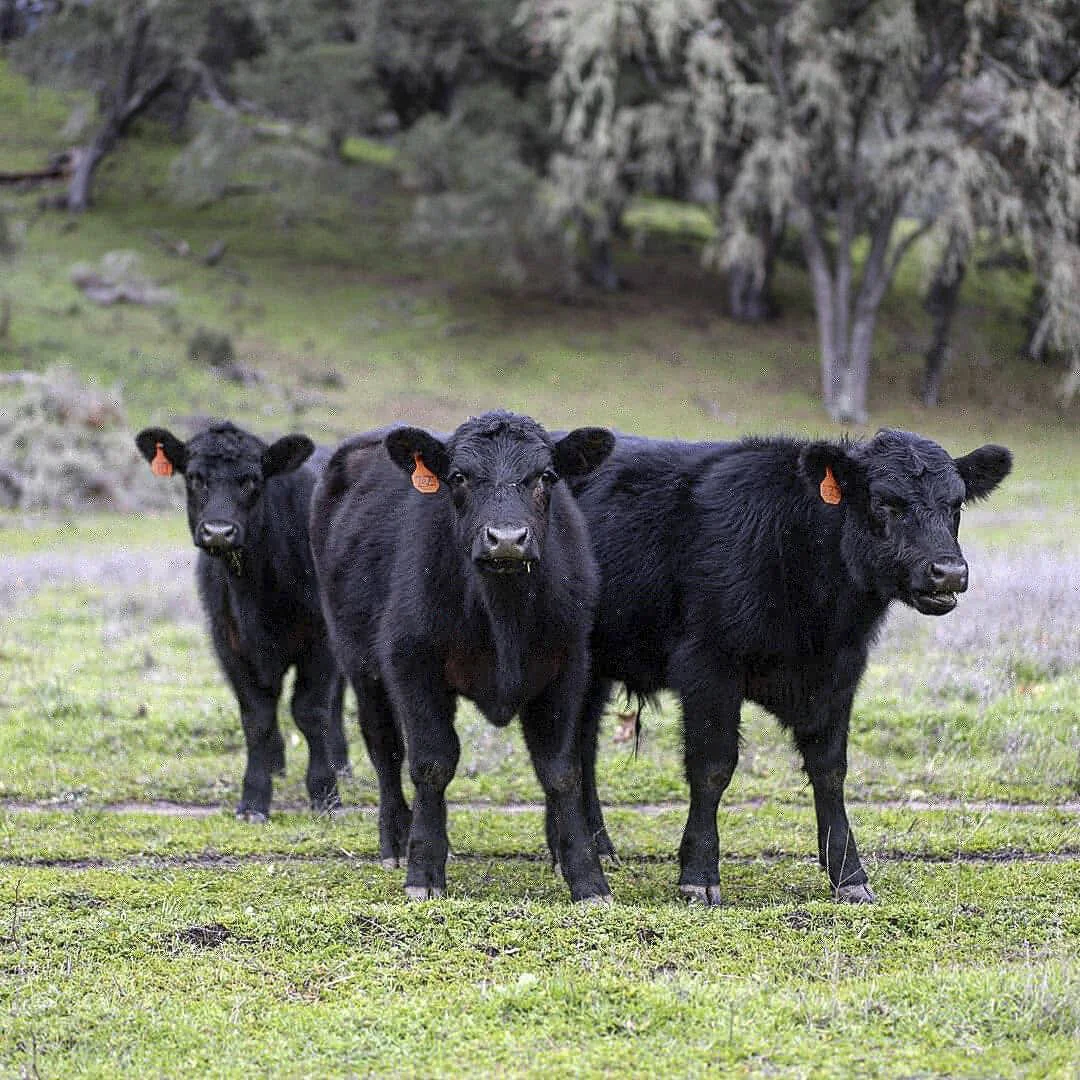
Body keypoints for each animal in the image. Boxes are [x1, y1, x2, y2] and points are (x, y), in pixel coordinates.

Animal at [135, 421, 348, 821]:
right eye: (195, 477)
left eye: (252, 479)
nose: (218, 531)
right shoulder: (231, 644)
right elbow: (257, 719)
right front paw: (254, 799)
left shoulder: (322, 642)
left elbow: (311, 711)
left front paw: (325, 793)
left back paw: (342, 764)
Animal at [310, 411, 616, 902]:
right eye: (458, 477)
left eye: (546, 477)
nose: (506, 540)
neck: (503, 616)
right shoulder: (412, 665)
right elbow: (431, 764)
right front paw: (423, 872)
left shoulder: (568, 668)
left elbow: (561, 770)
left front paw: (587, 877)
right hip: (359, 664)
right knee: (385, 750)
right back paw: (396, 840)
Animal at [567, 428, 1012, 904]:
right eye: (884, 502)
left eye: (956, 504)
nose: (949, 572)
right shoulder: (708, 667)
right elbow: (712, 768)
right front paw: (700, 875)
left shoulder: (838, 675)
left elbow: (830, 771)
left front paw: (849, 875)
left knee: (584, 745)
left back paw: (597, 846)